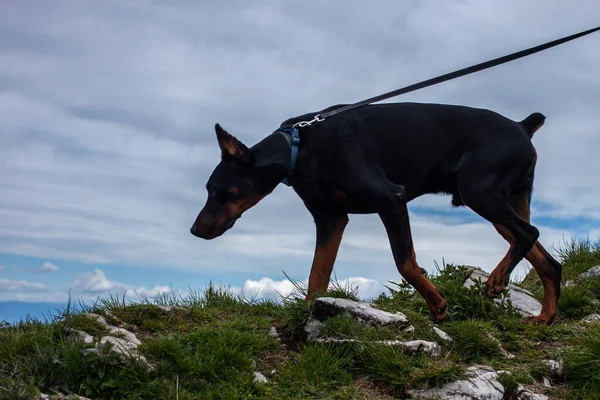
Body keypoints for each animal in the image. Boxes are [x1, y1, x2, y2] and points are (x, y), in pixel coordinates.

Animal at [191, 103, 564, 324]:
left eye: (218, 190)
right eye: (208, 189)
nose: (195, 230)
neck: (299, 147)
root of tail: (522, 126)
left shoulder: (391, 199)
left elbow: (405, 263)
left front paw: (436, 304)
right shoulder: (331, 219)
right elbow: (317, 276)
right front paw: (309, 311)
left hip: (480, 193)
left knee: (529, 234)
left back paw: (498, 279)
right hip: (503, 203)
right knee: (547, 260)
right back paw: (544, 318)